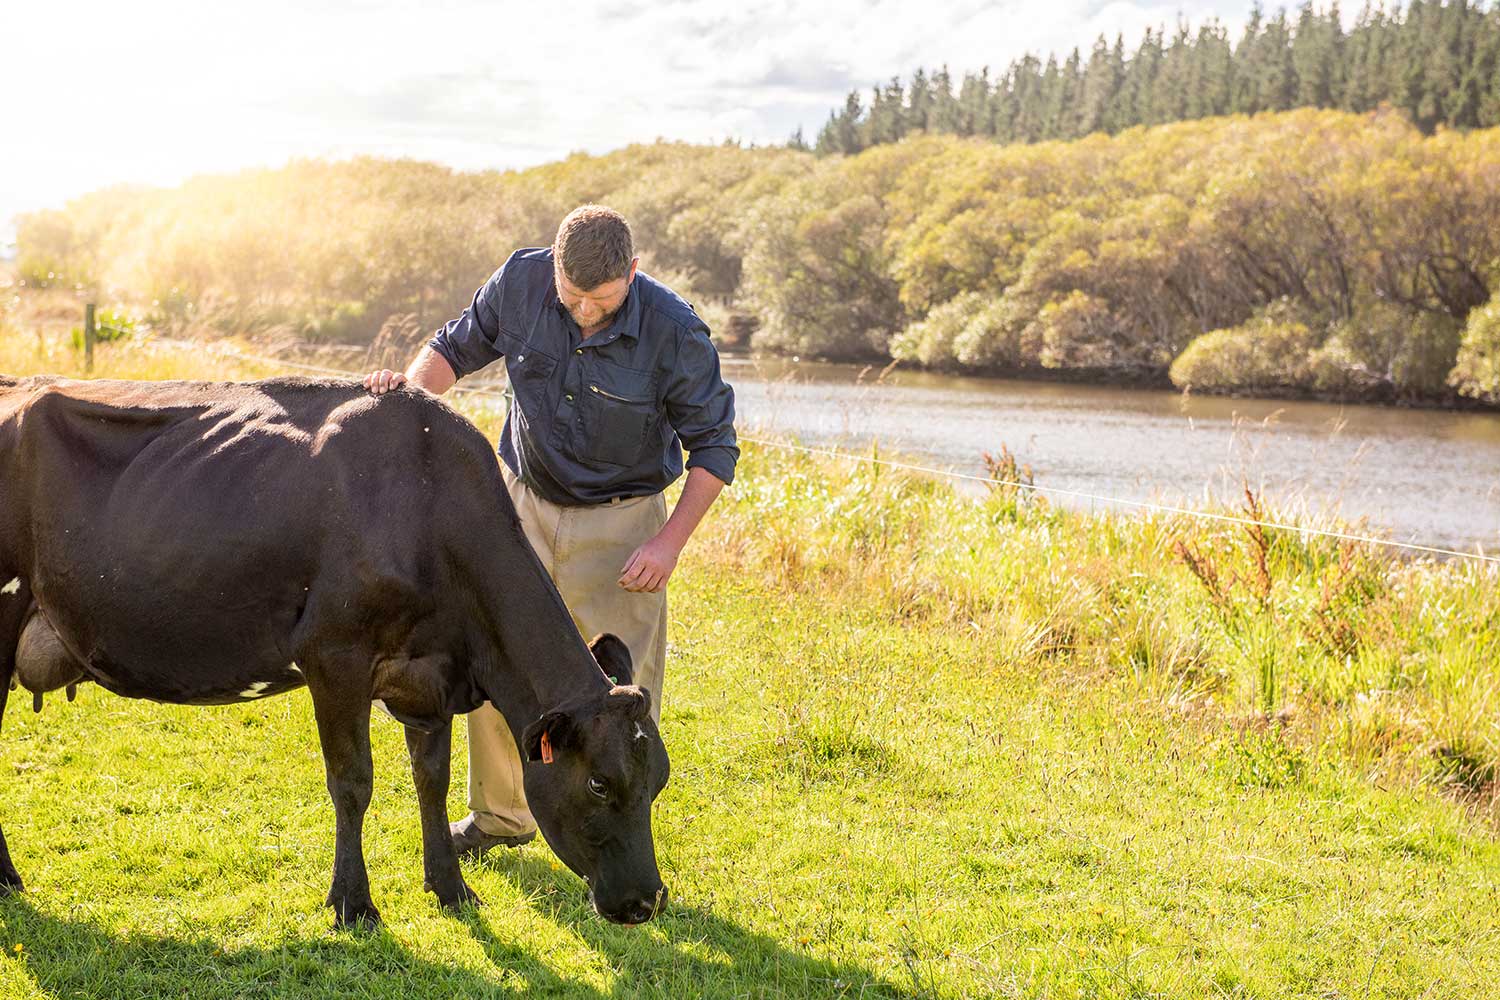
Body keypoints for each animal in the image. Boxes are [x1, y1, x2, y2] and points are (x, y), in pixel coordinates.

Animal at [0, 377, 669, 929]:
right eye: (600, 784)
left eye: (658, 781)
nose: (646, 902)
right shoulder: (334, 658)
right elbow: (352, 782)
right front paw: (354, 903)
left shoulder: (428, 677)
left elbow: (432, 779)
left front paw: (450, 889)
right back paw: (9, 880)